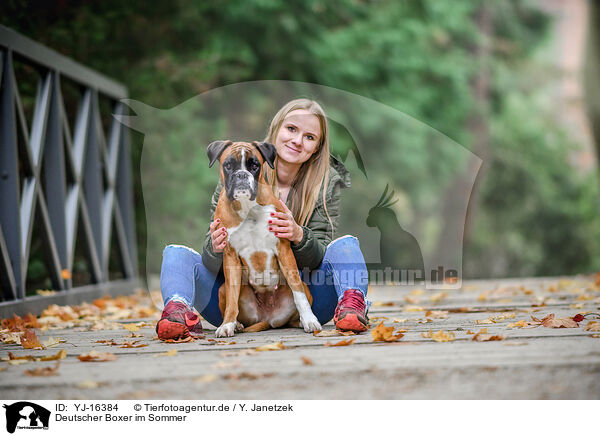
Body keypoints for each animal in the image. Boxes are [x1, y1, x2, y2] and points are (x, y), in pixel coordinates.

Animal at [210, 140, 326, 338]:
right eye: (228, 165)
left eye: (255, 165)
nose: (242, 175)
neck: (247, 207)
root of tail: (267, 317)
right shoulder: (230, 257)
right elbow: (232, 300)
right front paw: (227, 325)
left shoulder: (283, 249)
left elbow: (297, 291)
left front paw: (310, 320)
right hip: (222, 289)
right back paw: (237, 324)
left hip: (304, 287)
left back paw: (301, 321)